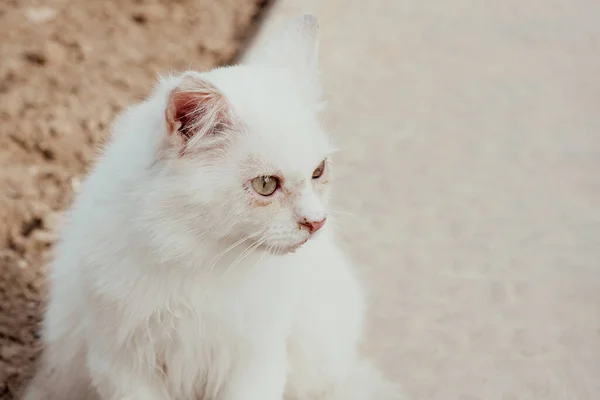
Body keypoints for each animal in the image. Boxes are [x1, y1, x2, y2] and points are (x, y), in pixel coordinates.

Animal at [22, 14, 398, 400]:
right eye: (266, 185)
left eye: (318, 171)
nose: (316, 222)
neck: (198, 253)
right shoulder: (121, 361)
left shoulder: (255, 360)